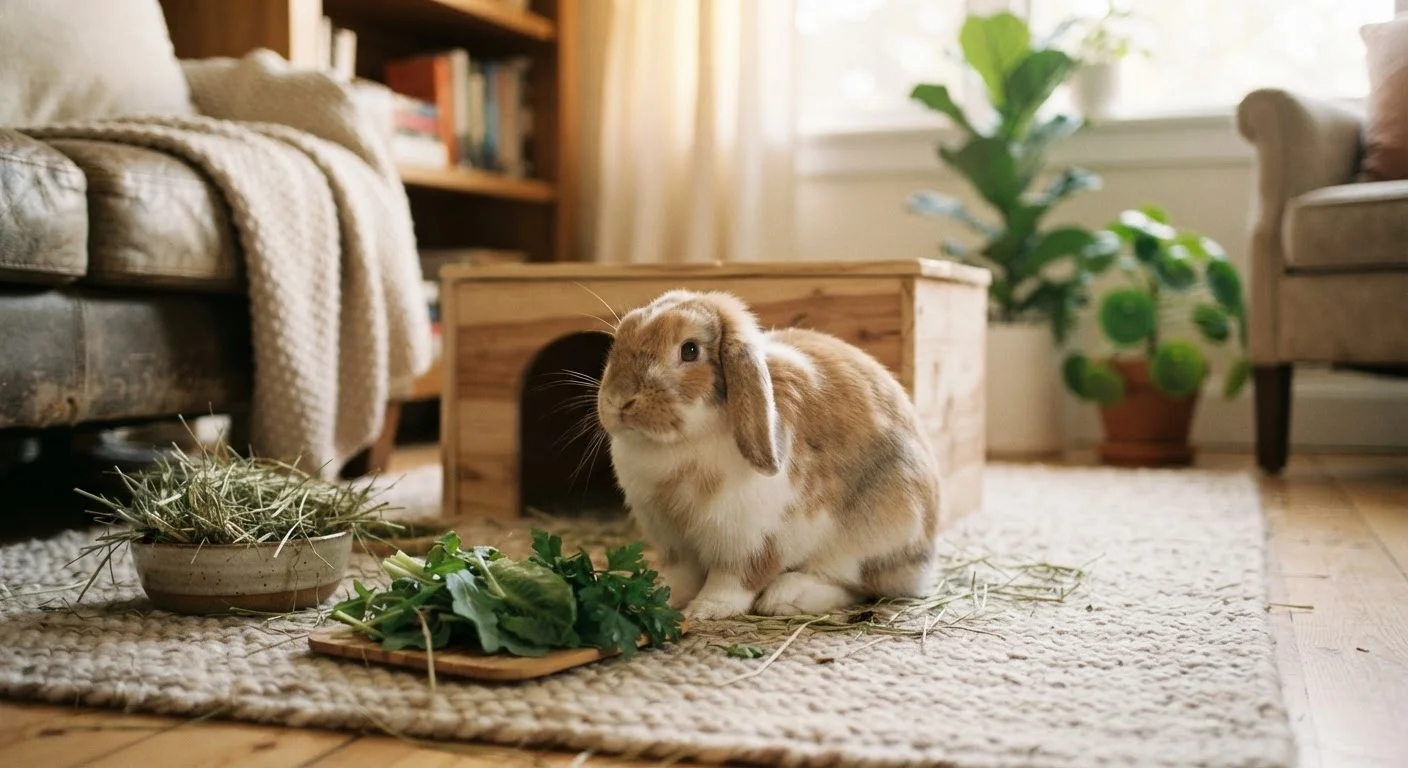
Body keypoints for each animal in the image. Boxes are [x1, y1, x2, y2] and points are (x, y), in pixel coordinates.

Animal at [595, 289, 942, 621]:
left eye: (690, 350)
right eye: (620, 339)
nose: (620, 400)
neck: (678, 444)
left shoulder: (750, 540)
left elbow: (735, 580)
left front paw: (706, 609)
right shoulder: (674, 542)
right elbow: (681, 578)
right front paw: (661, 599)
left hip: (878, 536)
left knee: (858, 583)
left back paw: (786, 597)